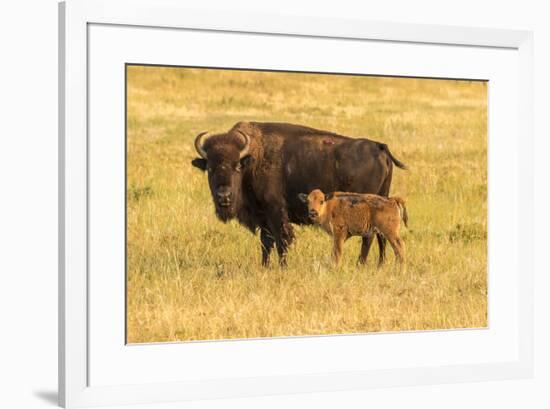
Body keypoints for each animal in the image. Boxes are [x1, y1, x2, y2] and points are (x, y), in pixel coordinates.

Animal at [192, 119, 408, 266]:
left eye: (237, 166)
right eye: (210, 168)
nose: (224, 196)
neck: (253, 159)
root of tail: (379, 147)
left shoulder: (276, 212)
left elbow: (281, 240)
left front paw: (283, 267)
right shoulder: (263, 216)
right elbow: (266, 242)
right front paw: (265, 266)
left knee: (369, 237)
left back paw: (361, 264)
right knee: (381, 237)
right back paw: (378, 265)